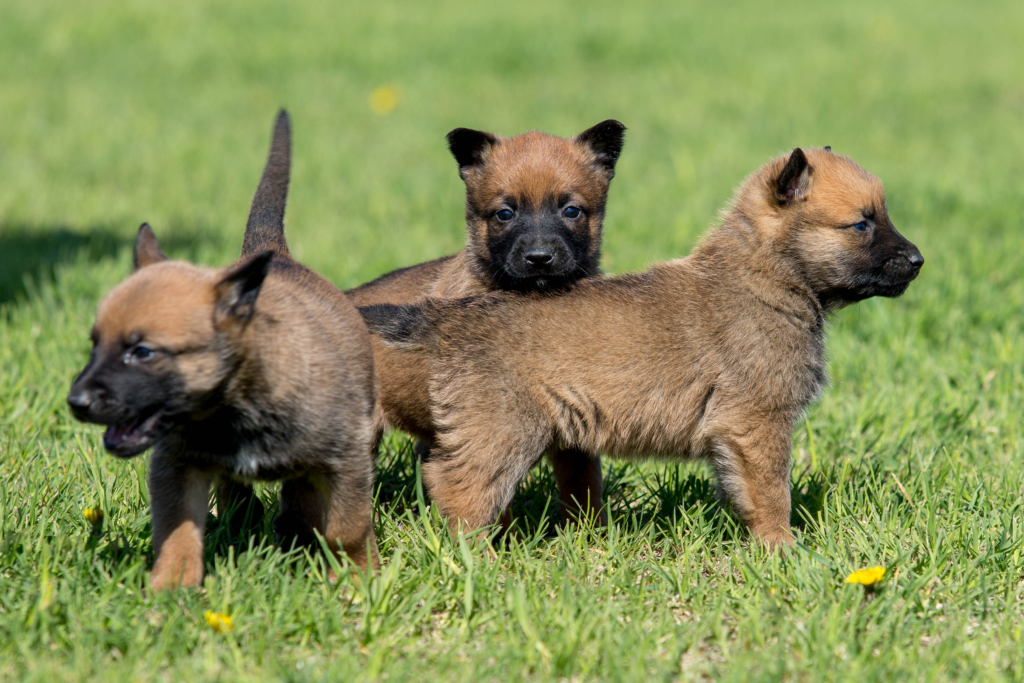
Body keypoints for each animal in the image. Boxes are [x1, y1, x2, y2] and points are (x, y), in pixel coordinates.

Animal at [350, 122, 622, 528]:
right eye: (504, 214)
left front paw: (590, 537)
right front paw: (507, 539)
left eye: (571, 210)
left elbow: (583, 486)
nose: (539, 258)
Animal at [362, 147, 929, 548]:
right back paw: (477, 558)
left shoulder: (735, 437)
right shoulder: (758, 424)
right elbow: (773, 496)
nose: (919, 260)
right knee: (457, 488)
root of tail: (451, 315)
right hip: (502, 432)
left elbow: (744, 492)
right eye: (862, 223)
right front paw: (783, 550)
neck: (763, 276)